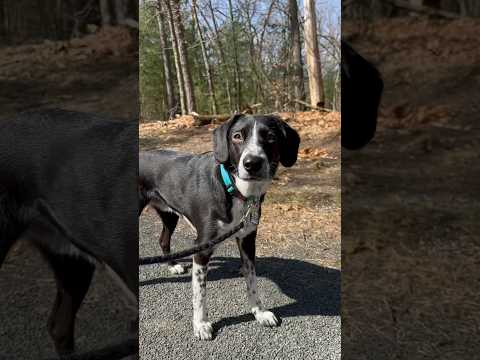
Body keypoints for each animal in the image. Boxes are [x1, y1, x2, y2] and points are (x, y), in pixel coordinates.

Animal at [137, 113, 300, 340]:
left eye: (271, 137)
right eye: (237, 136)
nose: (252, 163)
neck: (234, 189)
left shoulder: (248, 240)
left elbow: (252, 280)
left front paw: (259, 312)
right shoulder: (202, 248)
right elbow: (200, 293)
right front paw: (201, 324)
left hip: (169, 214)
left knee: (163, 240)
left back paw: (172, 265)